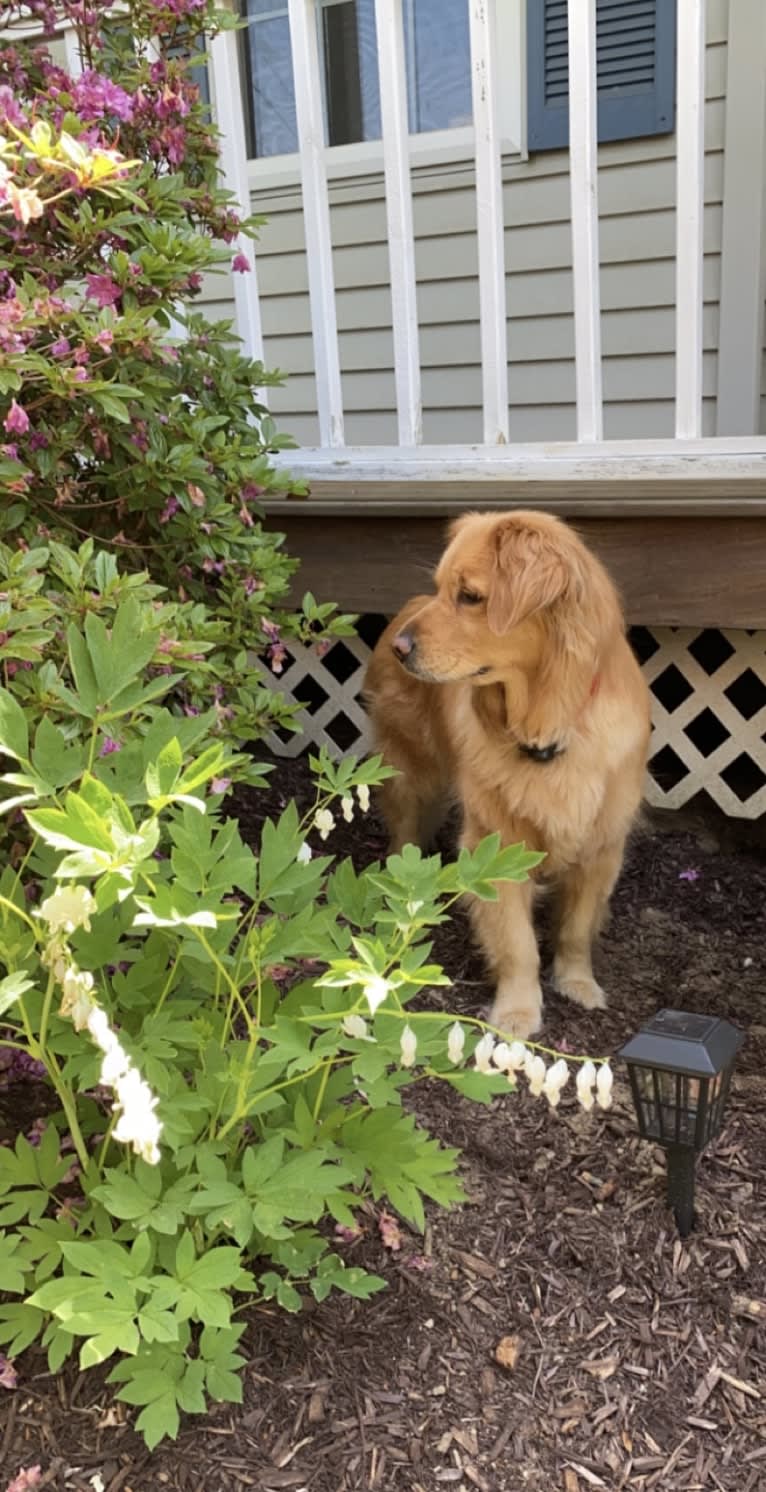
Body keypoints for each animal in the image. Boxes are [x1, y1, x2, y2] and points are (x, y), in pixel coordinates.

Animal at [364, 510, 651, 1038]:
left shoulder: (602, 844)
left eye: (469, 595)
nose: (398, 647)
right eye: (441, 588)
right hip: (408, 773)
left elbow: (576, 927)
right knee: (404, 838)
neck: (547, 723)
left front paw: (577, 982)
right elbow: (518, 943)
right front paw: (518, 1010)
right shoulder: (496, 846)